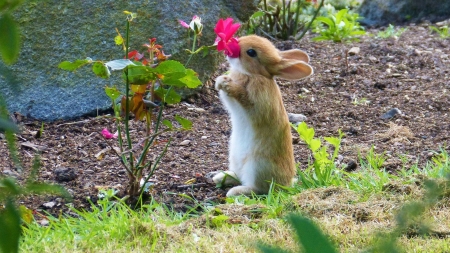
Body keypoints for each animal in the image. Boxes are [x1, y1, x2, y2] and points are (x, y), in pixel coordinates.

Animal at [214, 34, 312, 197]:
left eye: (251, 52)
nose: (233, 45)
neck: (253, 74)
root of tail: (285, 184)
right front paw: (220, 81)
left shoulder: (258, 100)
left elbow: (245, 99)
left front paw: (227, 83)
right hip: (234, 159)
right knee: (238, 175)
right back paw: (219, 177)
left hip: (257, 166)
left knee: (259, 188)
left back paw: (235, 191)